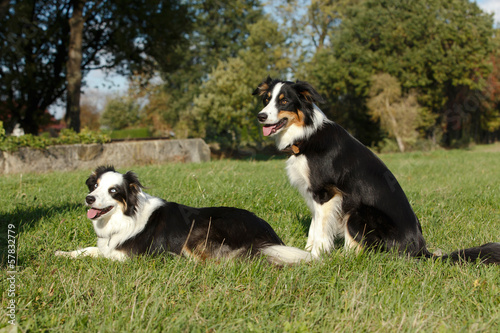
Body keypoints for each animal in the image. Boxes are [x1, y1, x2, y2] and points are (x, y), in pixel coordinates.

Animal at [55, 165, 312, 264]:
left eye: (113, 191)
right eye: (95, 186)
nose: (89, 198)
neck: (125, 216)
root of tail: (269, 236)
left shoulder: (128, 256)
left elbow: (99, 254)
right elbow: (89, 249)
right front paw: (63, 253)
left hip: (199, 230)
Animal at [254, 76, 500, 264]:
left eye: (284, 101)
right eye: (266, 100)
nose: (260, 116)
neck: (306, 135)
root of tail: (420, 249)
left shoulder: (326, 193)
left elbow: (321, 231)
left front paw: (315, 257)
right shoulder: (315, 194)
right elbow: (314, 228)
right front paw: (305, 251)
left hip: (358, 212)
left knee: (362, 251)